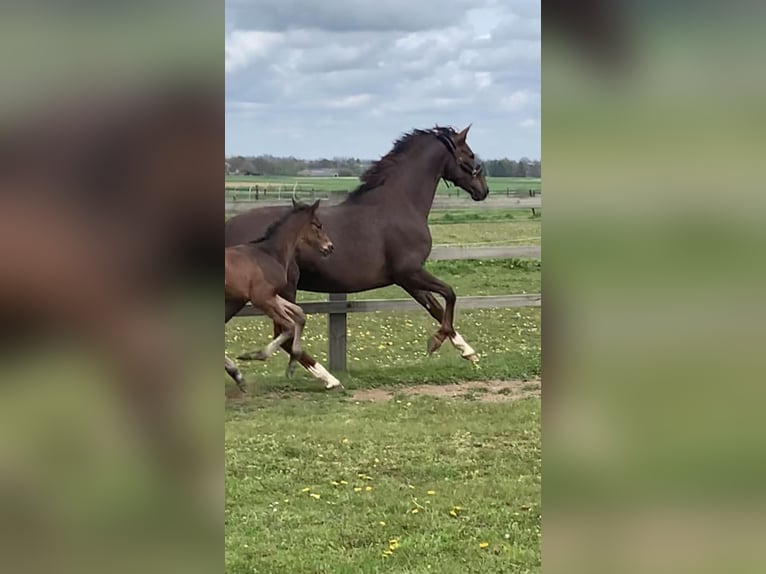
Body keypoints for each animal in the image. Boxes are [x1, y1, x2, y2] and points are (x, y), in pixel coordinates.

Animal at [224, 200, 334, 392]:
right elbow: (289, 326)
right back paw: (237, 373)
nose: (330, 247)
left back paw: (237, 376)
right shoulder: (262, 298)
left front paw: (292, 365)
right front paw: (254, 355)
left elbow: (300, 315)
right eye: (318, 225)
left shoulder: (272, 296)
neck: (270, 254)